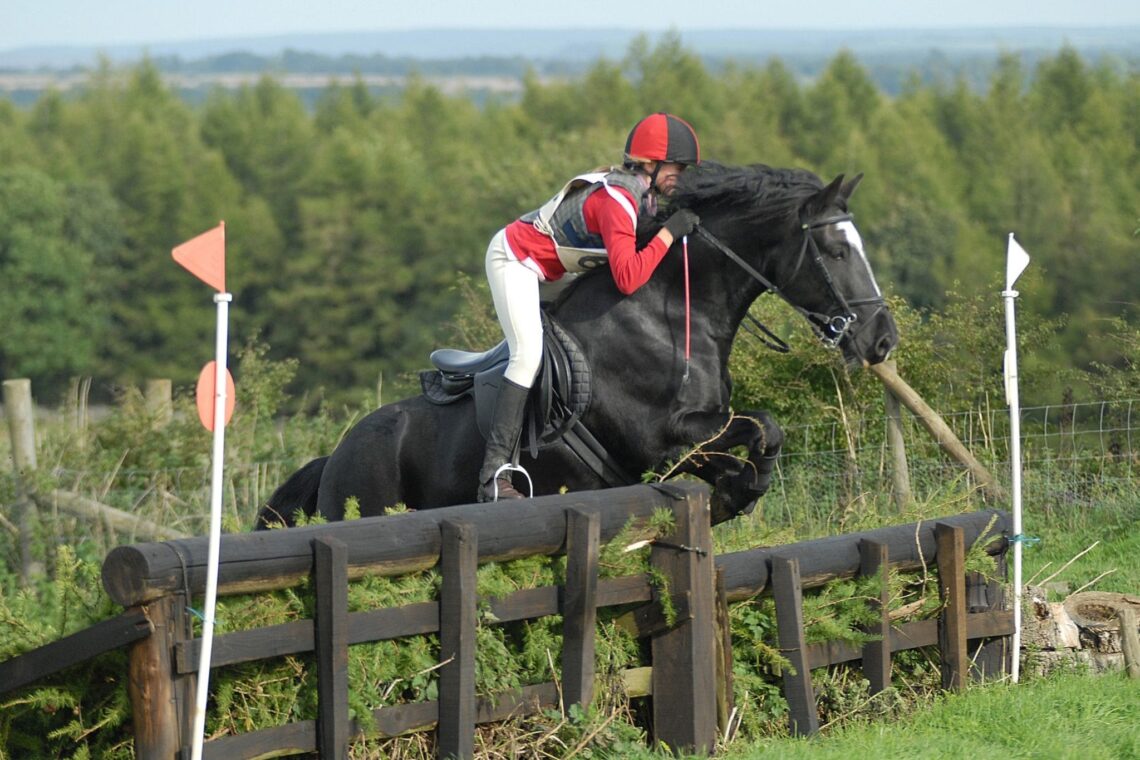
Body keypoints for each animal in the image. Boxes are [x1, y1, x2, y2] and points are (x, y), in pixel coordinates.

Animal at [256, 162, 899, 529]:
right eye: (836, 251)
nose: (882, 339)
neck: (670, 314)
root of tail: (334, 456)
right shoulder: (660, 440)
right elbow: (762, 426)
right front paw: (735, 491)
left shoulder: (678, 446)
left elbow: (757, 439)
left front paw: (736, 492)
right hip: (365, 500)